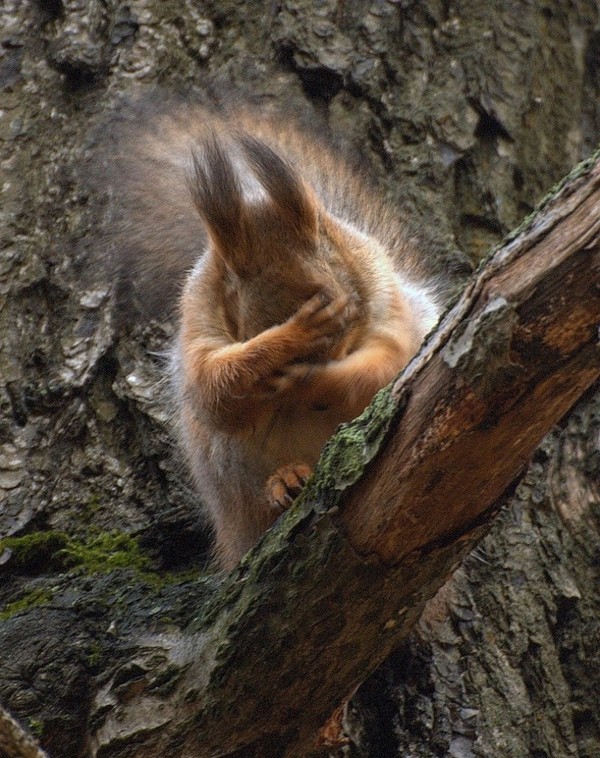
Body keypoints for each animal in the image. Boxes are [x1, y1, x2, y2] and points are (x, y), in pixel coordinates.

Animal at [104, 101, 450, 572]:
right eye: (251, 323)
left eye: (350, 307)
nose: (316, 360)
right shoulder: (197, 319)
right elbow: (213, 387)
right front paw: (291, 339)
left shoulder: (388, 302)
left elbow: (383, 367)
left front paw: (313, 381)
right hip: (228, 467)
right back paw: (284, 481)